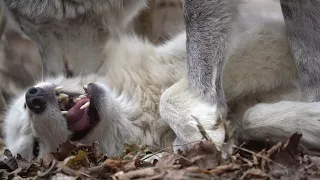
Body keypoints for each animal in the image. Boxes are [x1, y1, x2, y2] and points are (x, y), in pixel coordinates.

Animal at [2, 0, 320, 162]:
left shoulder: (267, 36)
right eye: (36, 148)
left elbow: (180, 92)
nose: (33, 97)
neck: (141, 104)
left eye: (25, 106)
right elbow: (249, 117)